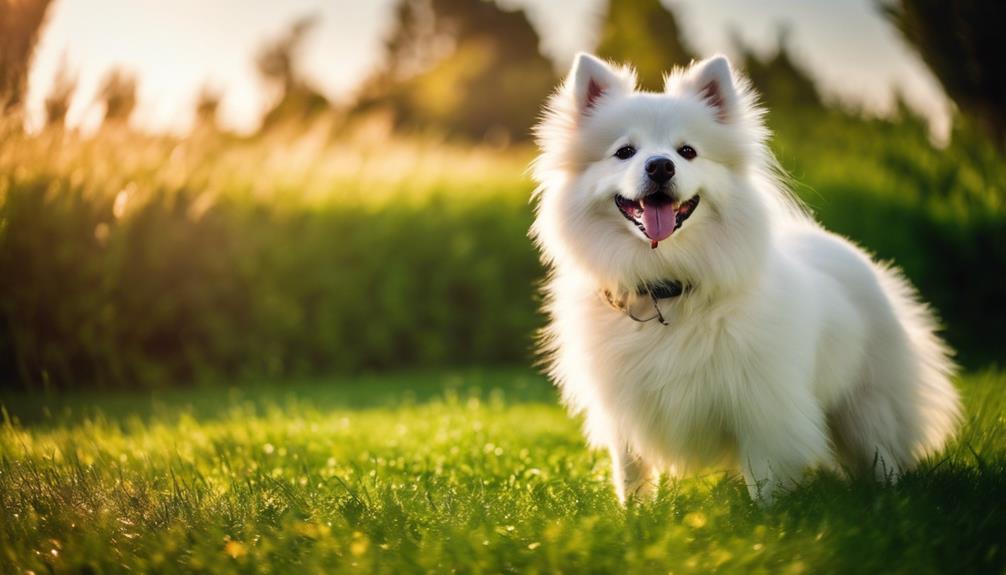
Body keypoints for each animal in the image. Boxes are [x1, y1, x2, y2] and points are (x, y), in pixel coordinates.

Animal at [531, 53, 961, 502]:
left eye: (687, 152)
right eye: (624, 152)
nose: (661, 165)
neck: (667, 285)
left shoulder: (762, 407)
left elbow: (765, 476)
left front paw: (766, 516)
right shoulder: (625, 411)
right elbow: (631, 473)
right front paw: (635, 514)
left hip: (867, 403)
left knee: (882, 453)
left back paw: (890, 497)